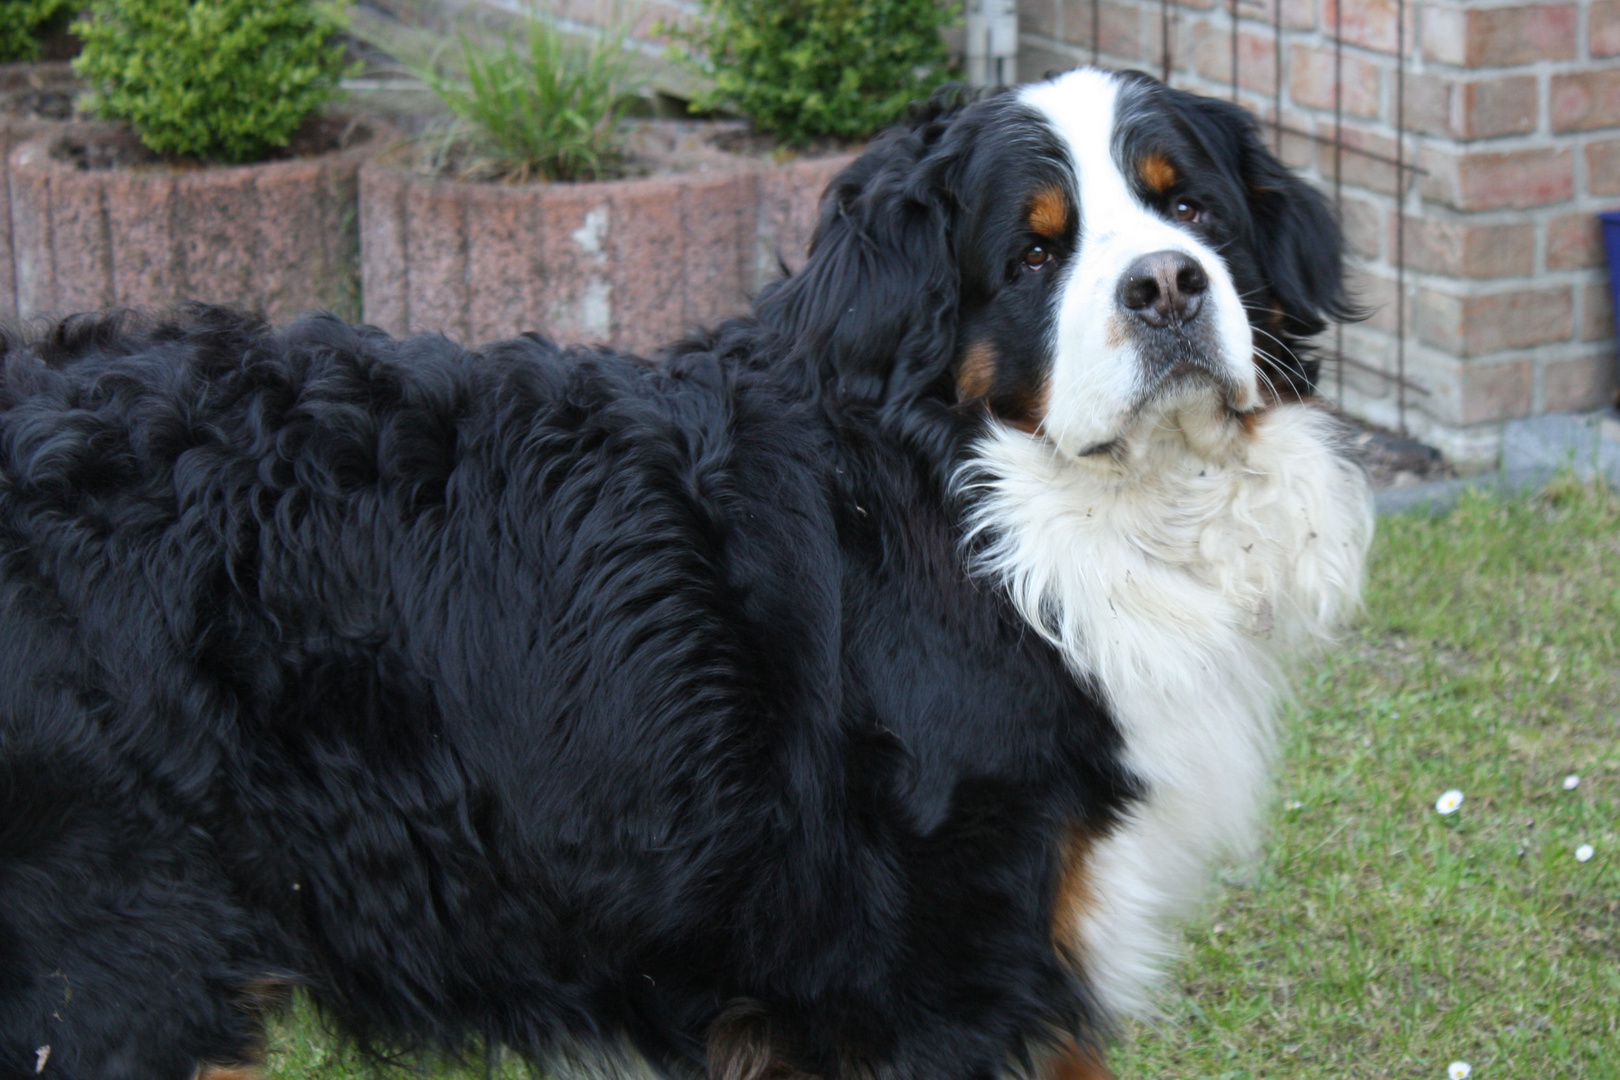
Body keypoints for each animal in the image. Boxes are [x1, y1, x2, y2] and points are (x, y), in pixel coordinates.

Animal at [0, 65, 1373, 1080]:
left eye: (1193, 211)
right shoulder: (945, 976)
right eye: (1036, 255)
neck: (994, 506)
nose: (1166, 287)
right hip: (119, 971)